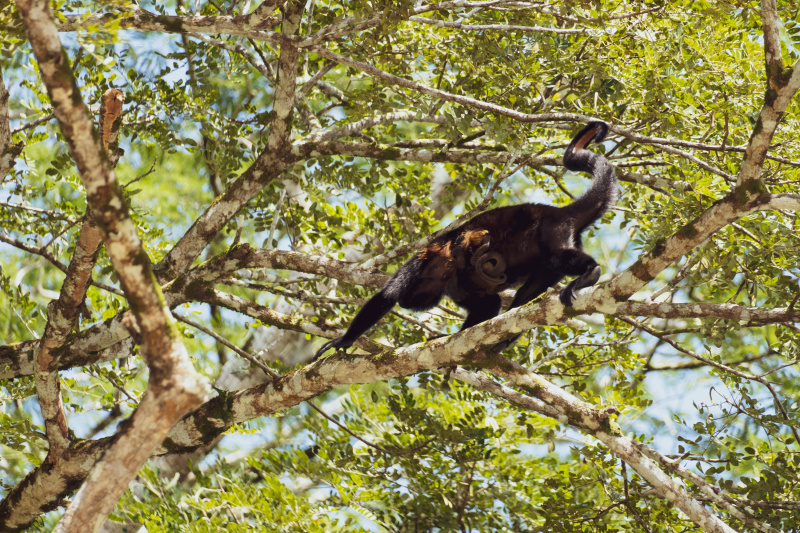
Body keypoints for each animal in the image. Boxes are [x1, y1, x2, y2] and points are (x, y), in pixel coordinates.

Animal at [314, 121, 620, 358]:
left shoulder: (426, 262)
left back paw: (590, 273)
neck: (439, 276)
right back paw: (508, 336)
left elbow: (386, 296)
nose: (412, 304)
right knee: (528, 292)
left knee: (557, 257)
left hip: (552, 230)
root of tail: (562, 212)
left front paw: (344, 340)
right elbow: (488, 303)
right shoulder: (454, 286)